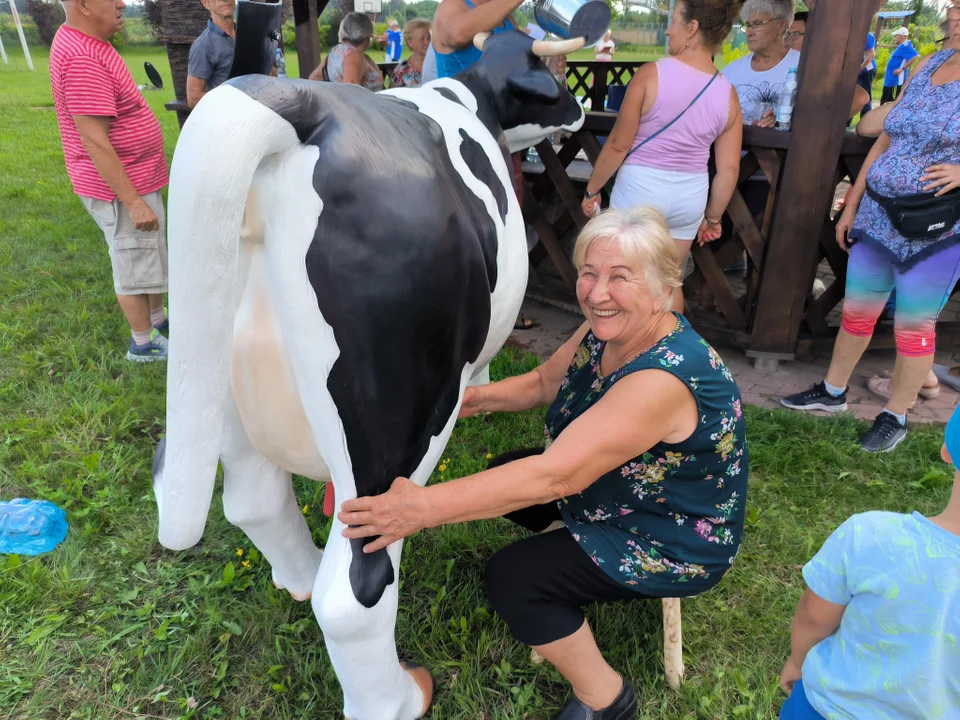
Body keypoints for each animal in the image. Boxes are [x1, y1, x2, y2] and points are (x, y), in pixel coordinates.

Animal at [153, 29, 584, 720]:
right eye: (552, 73)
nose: (579, 111)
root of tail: (300, 100)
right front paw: (485, 390)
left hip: (216, 368)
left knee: (254, 502)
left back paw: (297, 579)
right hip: (392, 425)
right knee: (357, 588)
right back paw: (401, 697)